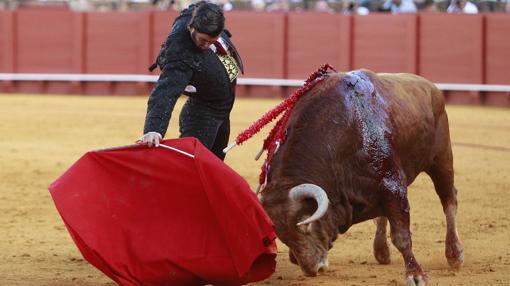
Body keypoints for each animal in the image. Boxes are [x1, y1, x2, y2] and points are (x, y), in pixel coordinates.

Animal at [260, 70, 464, 286]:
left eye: (307, 225)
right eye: (282, 235)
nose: (312, 269)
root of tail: (431, 86)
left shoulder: (393, 187)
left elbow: (401, 236)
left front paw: (415, 275)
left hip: (441, 158)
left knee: (449, 199)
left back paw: (454, 254)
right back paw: (382, 251)